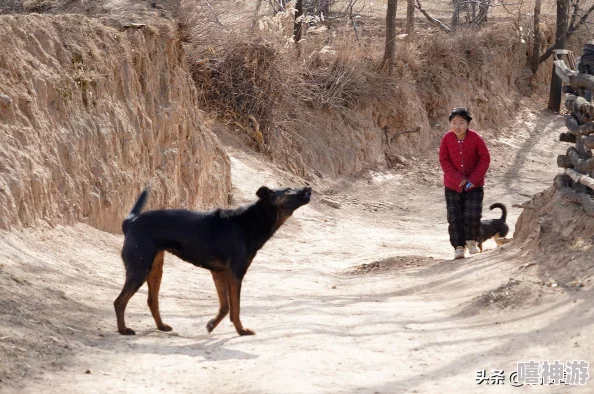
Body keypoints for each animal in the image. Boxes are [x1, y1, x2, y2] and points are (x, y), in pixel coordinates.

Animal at [112, 185, 312, 336]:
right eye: (288, 190)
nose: (308, 187)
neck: (255, 220)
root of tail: (131, 222)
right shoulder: (236, 273)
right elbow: (235, 308)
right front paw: (241, 330)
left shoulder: (219, 272)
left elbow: (225, 307)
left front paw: (212, 324)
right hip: (140, 269)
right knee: (119, 301)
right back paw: (123, 330)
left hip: (154, 269)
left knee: (152, 301)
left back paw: (161, 326)